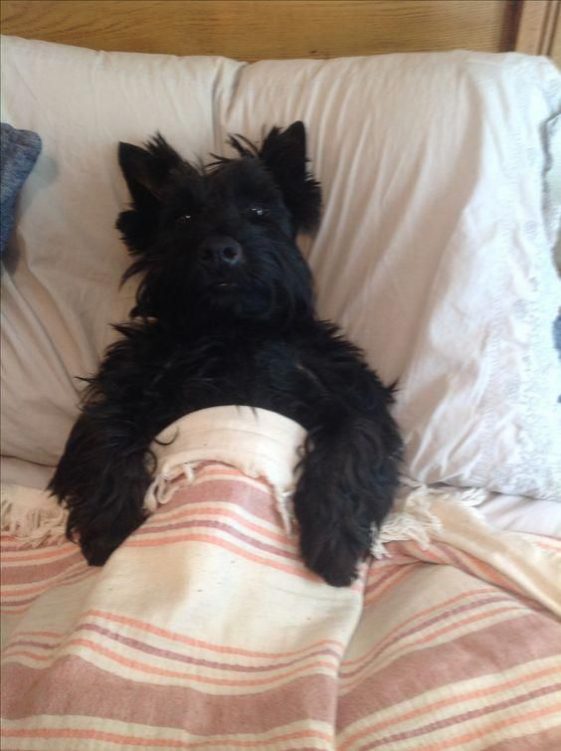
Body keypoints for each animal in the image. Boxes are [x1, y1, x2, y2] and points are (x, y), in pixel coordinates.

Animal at [50, 120, 402, 588]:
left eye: (258, 211)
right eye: (182, 217)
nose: (219, 251)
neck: (231, 328)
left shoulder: (354, 393)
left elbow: (349, 447)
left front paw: (335, 542)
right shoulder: (122, 386)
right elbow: (106, 435)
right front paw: (109, 529)